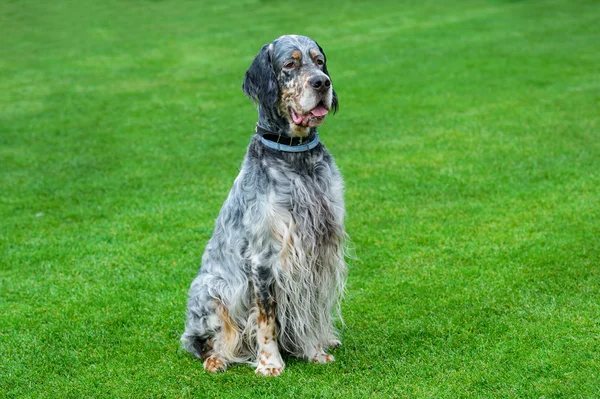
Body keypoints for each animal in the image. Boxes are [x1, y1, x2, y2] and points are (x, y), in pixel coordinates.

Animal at [180, 35, 346, 378]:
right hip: (210, 289)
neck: (296, 161)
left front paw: (316, 351)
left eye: (319, 61)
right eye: (290, 64)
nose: (322, 83)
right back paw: (216, 360)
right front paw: (270, 364)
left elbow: (310, 308)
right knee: (201, 342)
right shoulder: (264, 257)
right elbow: (266, 317)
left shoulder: (317, 250)